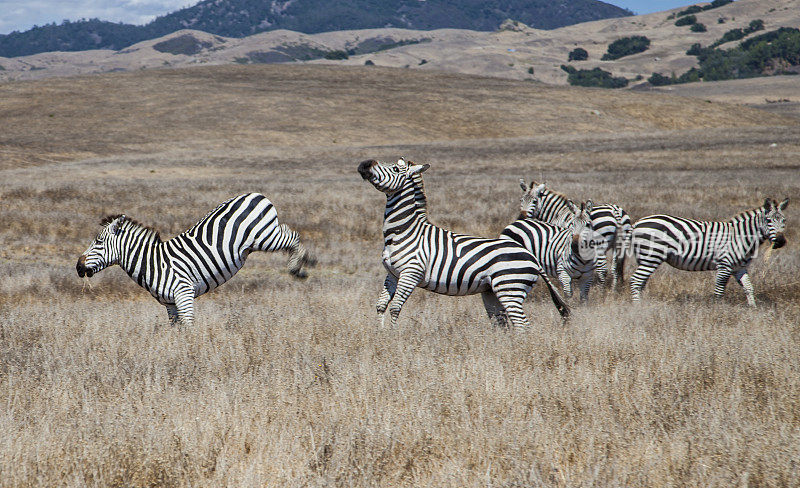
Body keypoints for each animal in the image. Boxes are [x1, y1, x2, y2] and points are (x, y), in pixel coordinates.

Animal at [74, 193, 312, 326]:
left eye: (98, 242)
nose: (78, 266)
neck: (152, 262)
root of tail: (255, 194)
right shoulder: (169, 304)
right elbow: (176, 329)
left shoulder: (184, 293)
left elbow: (189, 327)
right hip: (265, 235)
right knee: (287, 230)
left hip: (264, 237)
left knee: (293, 236)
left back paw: (299, 268)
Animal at [356, 158, 568, 330]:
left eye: (394, 169)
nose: (365, 164)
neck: (405, 231)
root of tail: (532, 258)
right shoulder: (393, 273)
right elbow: (381, 306)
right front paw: (381, 334)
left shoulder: (411, 273)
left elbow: (395, 308)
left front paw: (393, 336)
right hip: (492, 291)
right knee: (502, 323)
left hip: (510, 288)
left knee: (522, 325)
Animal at [628, 197, 792, 304]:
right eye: (769, 221)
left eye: (784, 221)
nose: (780, 241)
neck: (741, 236)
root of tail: (638, 223)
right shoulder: (725, 265)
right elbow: (719, 291)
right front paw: (716, 312)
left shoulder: (739, 267)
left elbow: (748, 288)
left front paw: (753, 309)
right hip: (652, 257)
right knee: (636, 281)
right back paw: (638, 307)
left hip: (646, 258)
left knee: (641, 282)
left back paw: (643, 304)